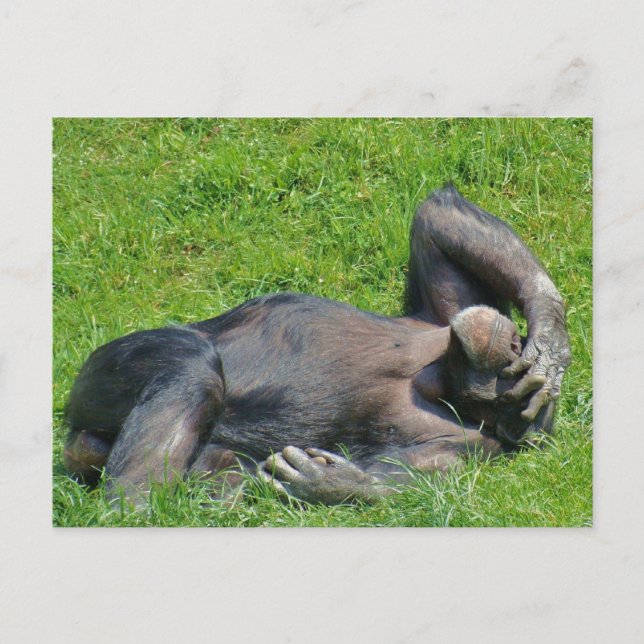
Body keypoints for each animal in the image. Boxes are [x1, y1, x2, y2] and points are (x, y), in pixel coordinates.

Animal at [63, 185, 571, 505]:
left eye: (502, 385)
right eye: (509, 365)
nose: (510, 345)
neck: (435, 379)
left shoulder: (465, 449)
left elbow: (407, 479)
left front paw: (332, 483)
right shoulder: (448, 315)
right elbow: (437, 219)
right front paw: (549, 339)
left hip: (97, 380)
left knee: (193, 378)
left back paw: (132, 508)